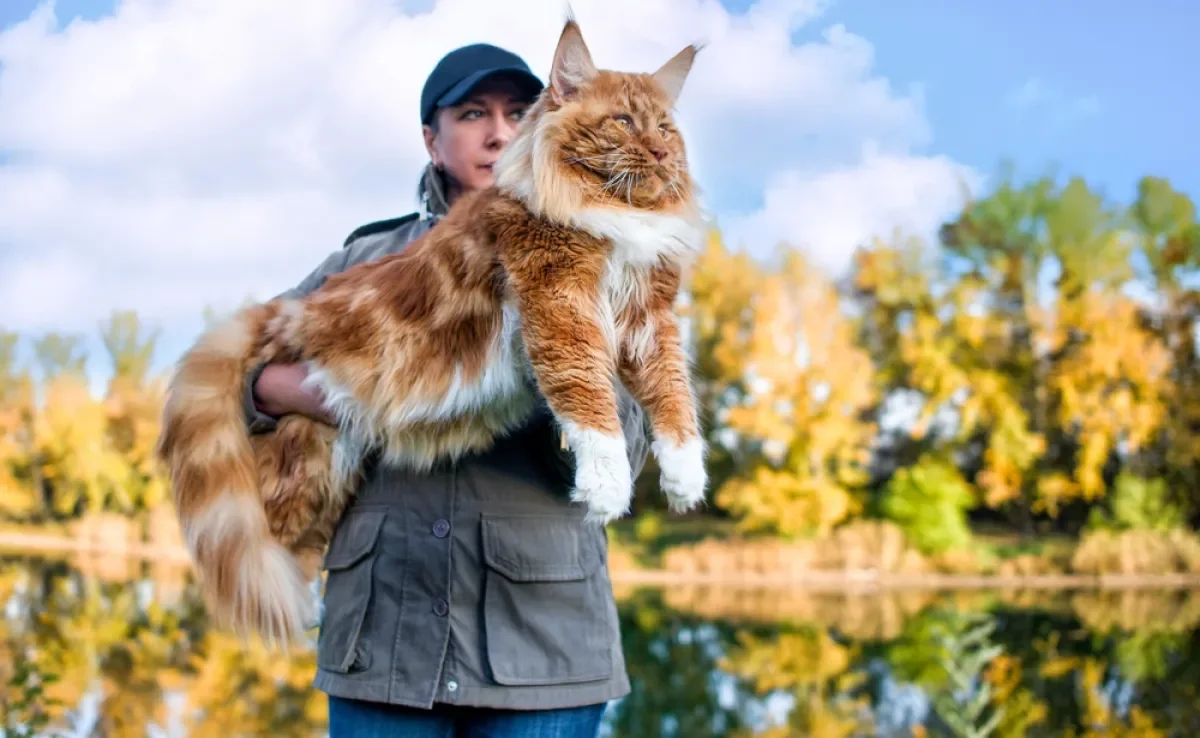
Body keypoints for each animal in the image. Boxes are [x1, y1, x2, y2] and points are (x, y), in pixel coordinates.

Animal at [154, 18, 705, 648]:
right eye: (623, 122)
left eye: (664, 127)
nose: (660, 151)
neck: (619, 213)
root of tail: (294, 309)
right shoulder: (558, 300)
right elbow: (589, 400)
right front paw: (608, 487)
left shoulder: (650, 317)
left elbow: (674, 396)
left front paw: (686, 476)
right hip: (303, 467)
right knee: (259, 556)